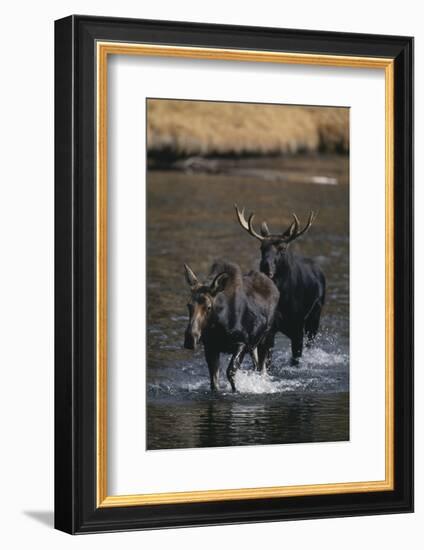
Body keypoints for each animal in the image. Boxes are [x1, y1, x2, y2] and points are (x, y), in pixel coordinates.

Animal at [182, 260, 278, 392]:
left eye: (208, 307)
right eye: (188, 305)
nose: (190, 338)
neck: (218, 326)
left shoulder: (241, 343)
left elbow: (230, 372)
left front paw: (236, 390)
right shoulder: (211, 347)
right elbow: (214, 382)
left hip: (267, 339)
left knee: (262, 369)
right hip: (254, 345)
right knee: (256, 365)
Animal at [235, 205, 324, 364]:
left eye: (282, 248)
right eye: (261, 247)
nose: (265, 265)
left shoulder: (297, 327)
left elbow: (295, 358)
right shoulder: (269, 329)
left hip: (315, 316)